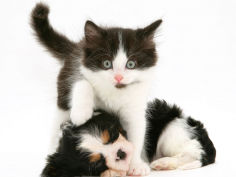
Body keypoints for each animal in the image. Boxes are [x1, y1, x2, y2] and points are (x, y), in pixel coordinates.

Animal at [30, 3, 161, 176]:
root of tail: (78, 44)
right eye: (106, 63)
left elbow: (136, 133)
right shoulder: (79, 69)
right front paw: (81, 114)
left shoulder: (135, 107)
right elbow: (81, 82)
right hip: (62, 97)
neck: (115, 93)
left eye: (131, 64)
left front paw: (136, 165)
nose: (118, 77)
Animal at [41, 99, 216, 176]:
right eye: (97, 164)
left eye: (113, 135)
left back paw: (162, 163)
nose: (120, 153)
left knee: (192, 152)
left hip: (172, 132)